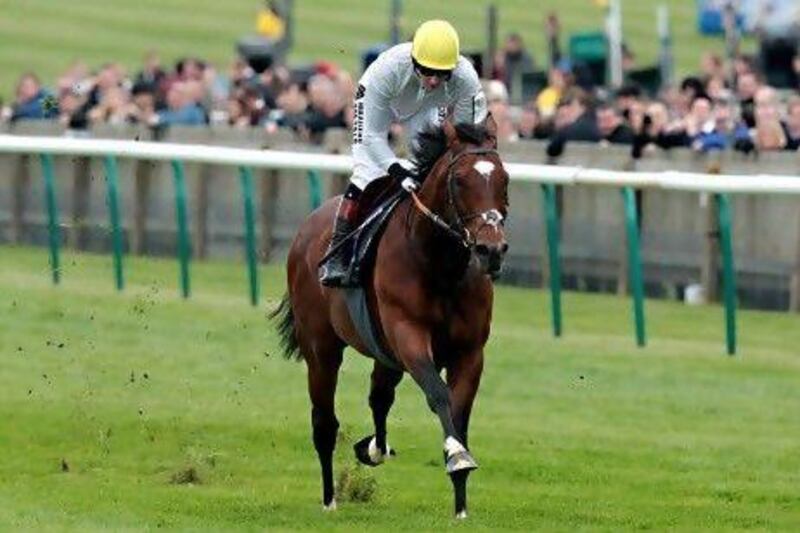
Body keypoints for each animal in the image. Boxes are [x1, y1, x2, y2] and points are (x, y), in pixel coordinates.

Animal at [276, 115, 510, 516]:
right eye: (459, 181)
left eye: (504, 179)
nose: (490, 250)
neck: (441, 266)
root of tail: (307, 228)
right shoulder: (409, 336)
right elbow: (439, 394)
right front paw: (457, 457)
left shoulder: (469, 352)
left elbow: (459, 411)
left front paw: (461, 504)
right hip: (321, 348)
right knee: (324, 422)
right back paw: (330, 499)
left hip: (384, 353)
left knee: (379, 396)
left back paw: (373, 448)